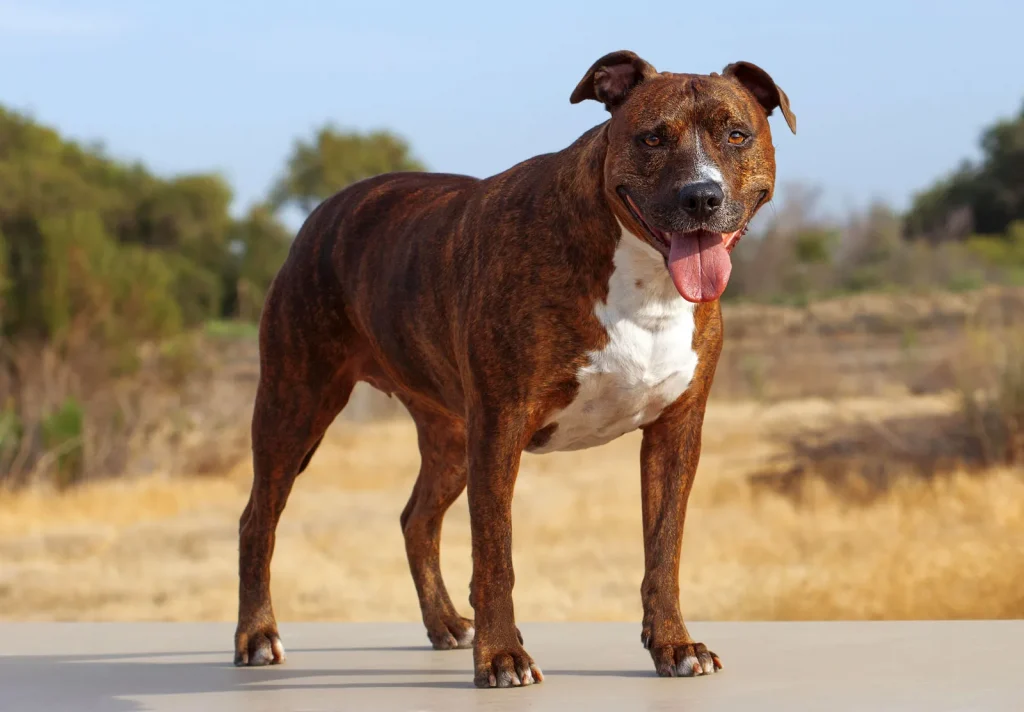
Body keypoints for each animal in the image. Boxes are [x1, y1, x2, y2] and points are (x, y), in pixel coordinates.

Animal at [235, 47, 794, 688]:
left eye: (736, 135)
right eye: (653, 137)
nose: (700, 196)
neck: (642, 279)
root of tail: (323, 211)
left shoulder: (675, 433)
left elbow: (664, 548)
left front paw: (674, 644)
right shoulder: (501, 426)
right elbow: (495, 553)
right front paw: (502, 655)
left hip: (451, 439)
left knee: (416, 520)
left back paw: (444, 623)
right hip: (295, 407)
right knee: (258, 521)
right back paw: (257, 636)